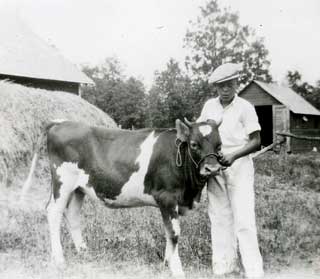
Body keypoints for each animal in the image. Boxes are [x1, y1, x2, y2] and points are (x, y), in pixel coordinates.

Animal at [21, 119, 222, 278]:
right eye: (194, 144)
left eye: (219, 146)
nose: (212, 169)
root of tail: (61, 122)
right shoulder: (167, 197)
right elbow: (174, 233)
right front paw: (177, 269)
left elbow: (169, 232)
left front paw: (167, 262)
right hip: (62, 182)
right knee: (53, 212)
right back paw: (59, 259)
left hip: (79, 188)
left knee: (72, 215)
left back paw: (84, 252)